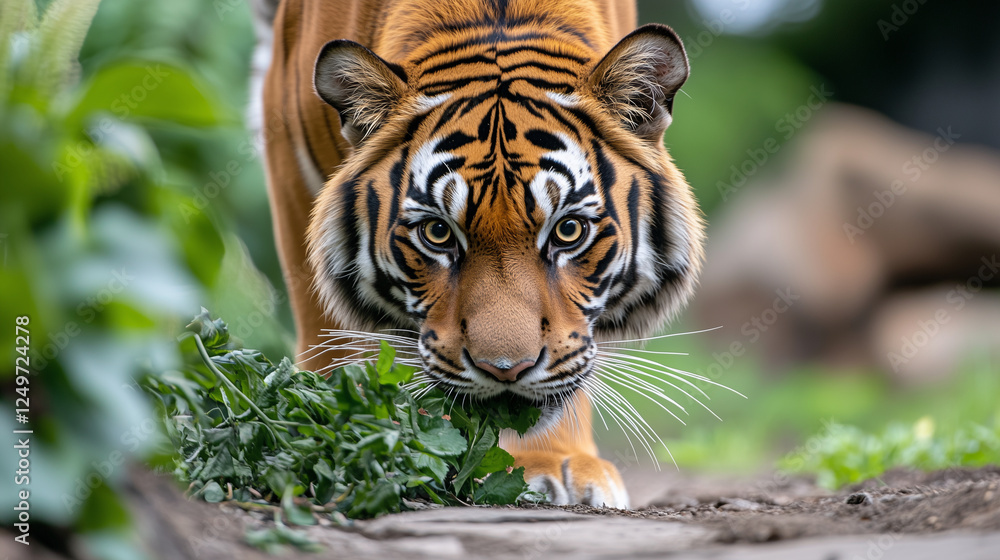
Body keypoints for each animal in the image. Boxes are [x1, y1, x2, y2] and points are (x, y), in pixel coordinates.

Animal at [255, 0, 704, 508]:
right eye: (437, 233)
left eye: (568, 230)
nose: (505, 370)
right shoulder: (286, 149)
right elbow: (326, 328)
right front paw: (330, 427)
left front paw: (552, 461)